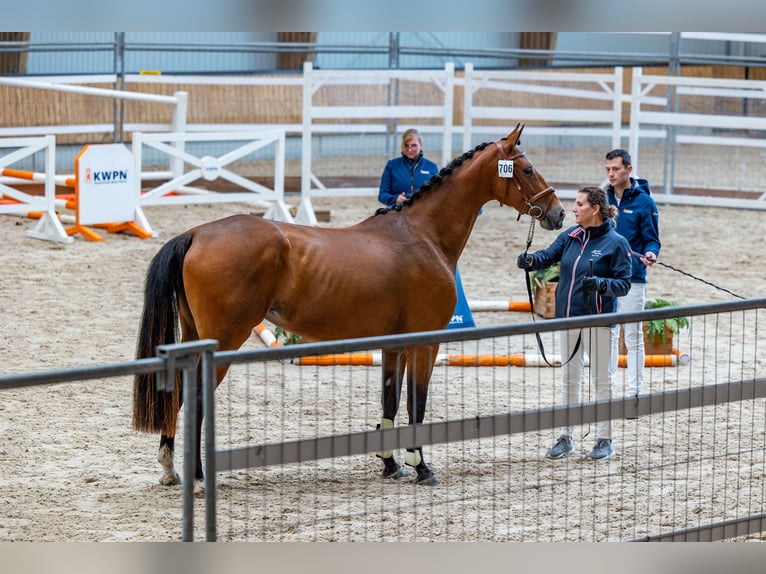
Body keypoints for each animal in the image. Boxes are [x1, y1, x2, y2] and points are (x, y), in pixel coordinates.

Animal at [134, 126, 564, 496]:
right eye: (527, 169)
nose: (557, 212)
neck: (423, 235)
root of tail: (196, 233)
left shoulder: (394, 344)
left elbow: (391, 401)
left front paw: (391, 464)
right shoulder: (425, 343)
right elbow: (417, 404)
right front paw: (421, 466)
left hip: (194, 335)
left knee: (177, 396)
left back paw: (170, 469)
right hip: (223, 342)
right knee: (196, 400)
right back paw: (199, 478)